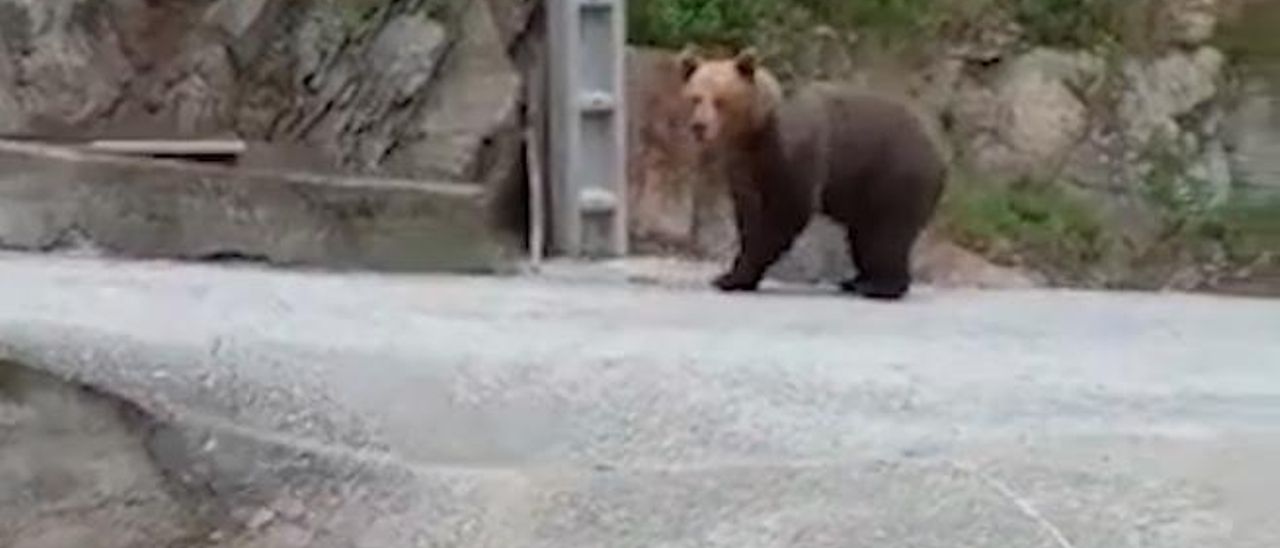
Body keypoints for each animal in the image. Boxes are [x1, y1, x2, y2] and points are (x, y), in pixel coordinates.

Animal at [686, 48, 947, 299]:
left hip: (896, 174)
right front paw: (731, 275)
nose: (699, 126)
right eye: (695, 97)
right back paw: (855, 281)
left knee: (887, 233)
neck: (755, 131)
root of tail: (939, 154)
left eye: (720, 100)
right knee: (863, 236)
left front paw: (734, 277)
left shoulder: (794, 152)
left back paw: (879, 286)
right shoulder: (742, 165)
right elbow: (748, 214)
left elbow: (787, 211)